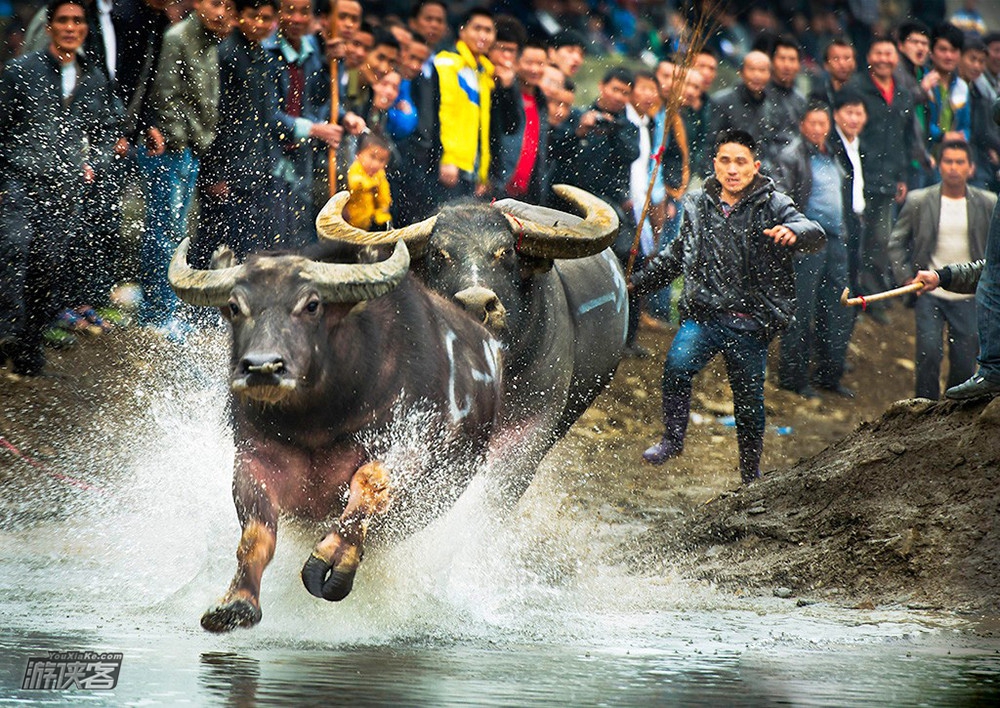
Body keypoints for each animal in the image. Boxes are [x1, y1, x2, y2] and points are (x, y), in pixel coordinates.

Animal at [169, 214, 508, 632]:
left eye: (312, 304)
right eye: (234, 306)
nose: (262, 367)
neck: (319, 417)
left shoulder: (412, 445)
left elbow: (368, 485)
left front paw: (332, 560)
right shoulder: (253, 457)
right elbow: (255, 536)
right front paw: (235, 604)